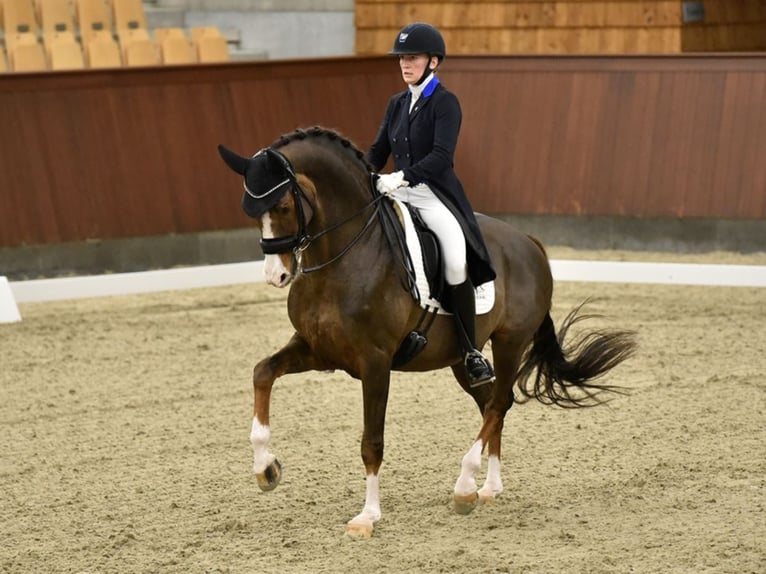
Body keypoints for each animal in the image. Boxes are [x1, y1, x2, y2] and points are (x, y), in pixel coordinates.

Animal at [217, 126, 637, 538]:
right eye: (249, 210)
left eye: (284, 207)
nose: (276, 275)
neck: (343, 257)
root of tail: (530, 243)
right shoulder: (316, 349)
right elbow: (262, 373)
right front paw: (266, 469)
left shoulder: (375, 361)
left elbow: (371, 441)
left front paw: (368, 516)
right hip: (462, 359)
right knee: (491, 402)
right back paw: (489, 488)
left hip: (510, 342)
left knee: (498, 403)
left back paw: (465, 487)